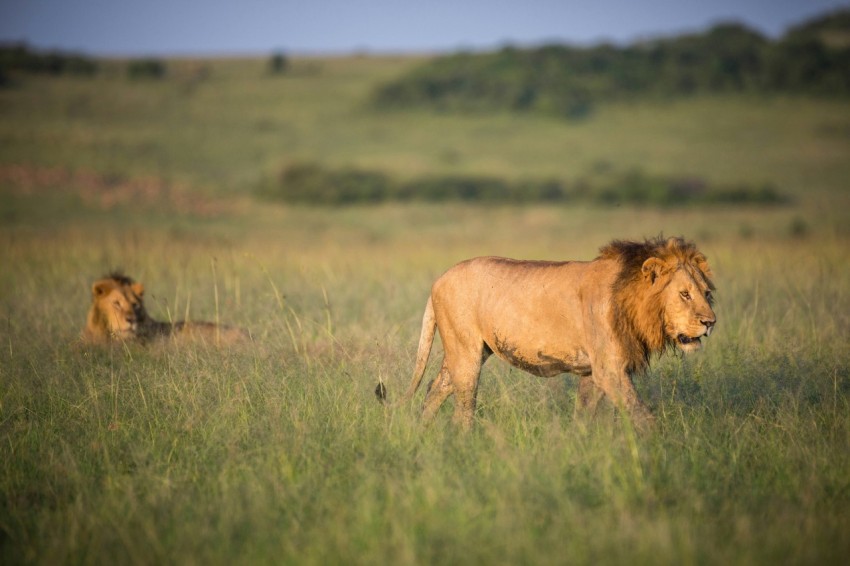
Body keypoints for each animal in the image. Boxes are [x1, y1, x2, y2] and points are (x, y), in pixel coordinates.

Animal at [374, 236, 712, 430]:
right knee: (463, 408)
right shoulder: (610, 371)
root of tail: (439, 279)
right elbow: (643, 415)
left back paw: (423, 435)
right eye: (684, 294)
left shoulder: (593, 372)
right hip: (465, 351)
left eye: (706, 293)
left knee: (435, 388)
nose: (710, 322)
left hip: (469, 351)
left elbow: (584, 416)